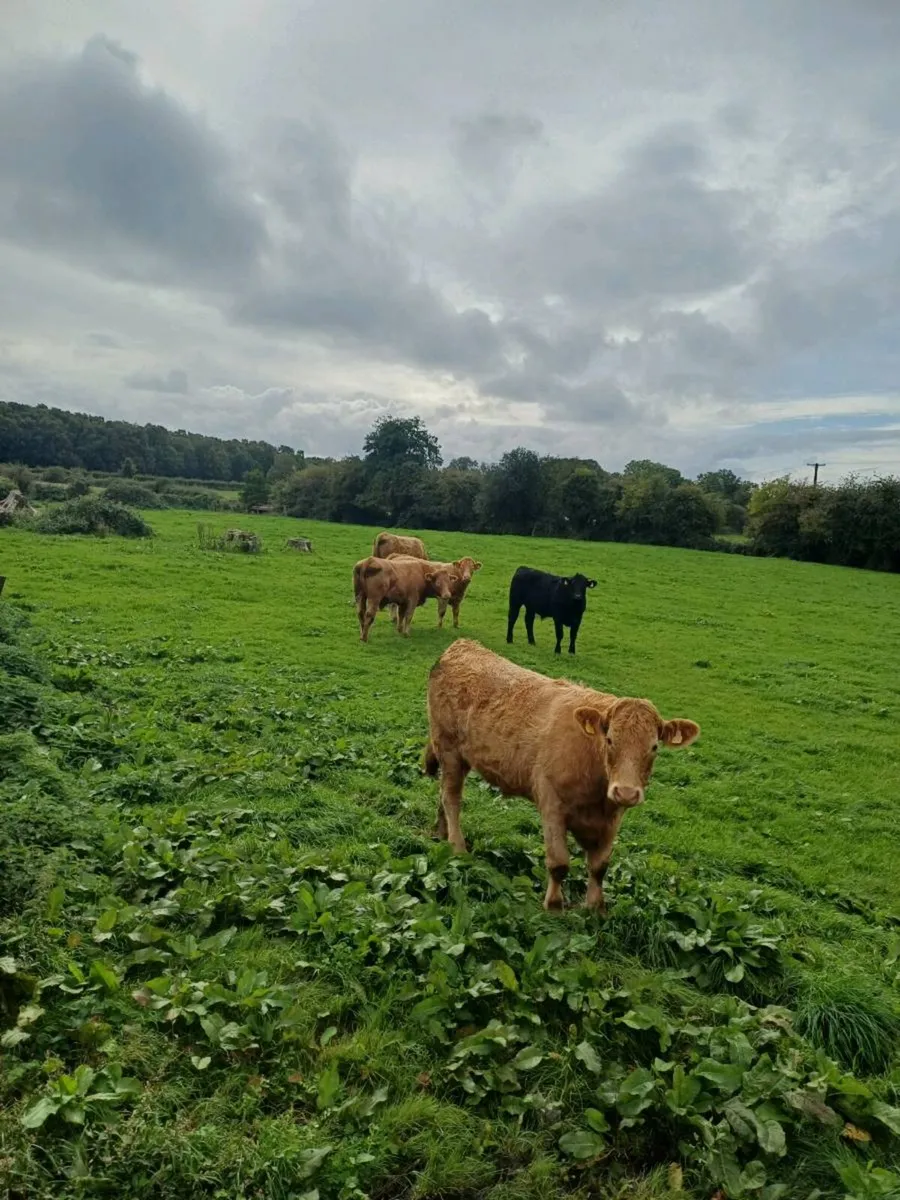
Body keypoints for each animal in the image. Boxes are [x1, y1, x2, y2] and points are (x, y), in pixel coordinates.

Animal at [424, 639, 700, 913]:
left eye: (654, 747)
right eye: (610, 740)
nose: (626, 792)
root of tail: (463, 645)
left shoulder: (612, 819)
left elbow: (599, 867)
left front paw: (596, 907)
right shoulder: (552, 805)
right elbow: (559, 863)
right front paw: (554, 905)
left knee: (444, 794)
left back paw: (441, 832)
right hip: (448, 748)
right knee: (451, 799)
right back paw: (457, 846)